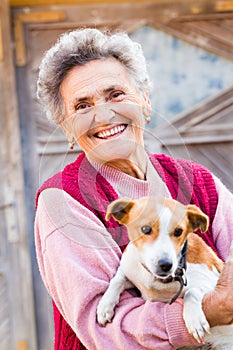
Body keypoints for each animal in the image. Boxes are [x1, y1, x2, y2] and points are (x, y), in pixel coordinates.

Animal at [97, 197, 233, 350]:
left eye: (179, 231)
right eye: (145, 229)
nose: (166, 264)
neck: (157, 279)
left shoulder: (213, 284)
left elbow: (191, 292)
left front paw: (194, 320)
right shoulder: (129, 267)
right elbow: (117, 280)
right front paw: (105, 305)